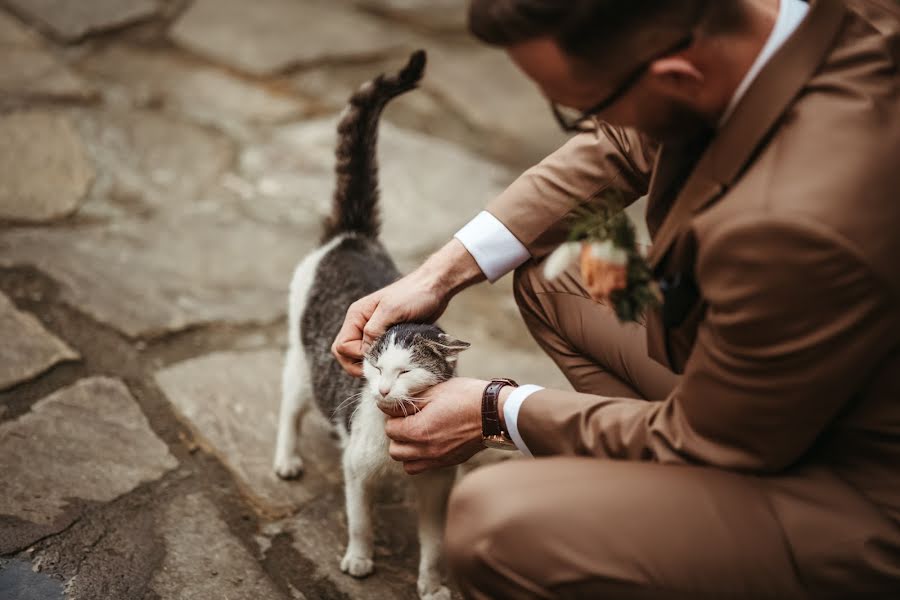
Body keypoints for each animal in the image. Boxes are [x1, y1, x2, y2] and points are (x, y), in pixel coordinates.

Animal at [272, 50, 472, 600]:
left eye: (404, 372)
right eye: (375, 367)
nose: (380, 390)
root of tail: (352, 235)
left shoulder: (437, 484)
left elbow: (435, 543)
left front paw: (433, 584)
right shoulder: (358, 472)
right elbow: (358, 518)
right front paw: (360, 558)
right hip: (301, 363)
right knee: (289, 407)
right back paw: (287, 457)